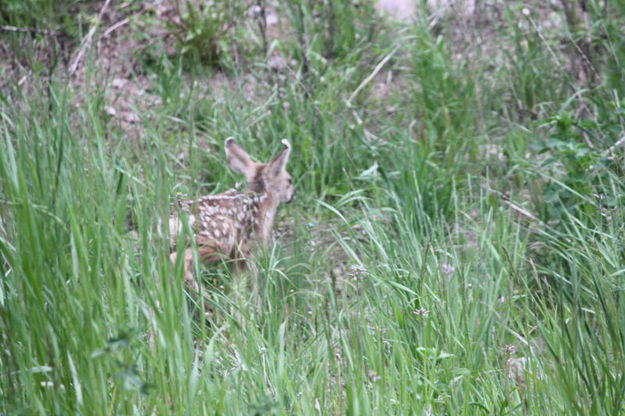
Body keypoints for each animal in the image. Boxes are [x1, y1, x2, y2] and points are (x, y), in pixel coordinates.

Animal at [168, 137, 294, 306]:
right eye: (289, 180)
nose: (293, 195)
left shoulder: (237, 255)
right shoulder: (247, 247)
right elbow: (249, 279)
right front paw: (252, 306)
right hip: (218, 239)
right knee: (178, 260)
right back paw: (210, 302)